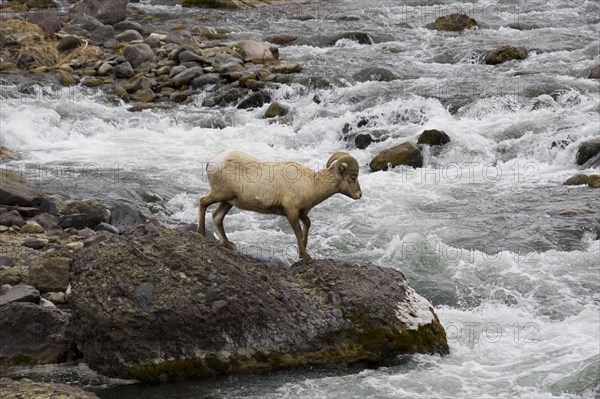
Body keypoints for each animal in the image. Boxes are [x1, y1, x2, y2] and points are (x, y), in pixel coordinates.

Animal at [199, 150, 364, 262]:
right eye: (352, 177)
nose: (359, 195)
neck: (312, 184)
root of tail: (211, 162)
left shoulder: (302, 213)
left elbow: (307, 224)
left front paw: (302, 253)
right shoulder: (291, 212)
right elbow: (298, 231)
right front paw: (305, 256)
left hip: (228, 201)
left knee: (217, 217)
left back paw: (228, 245)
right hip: (220, 195)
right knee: (203, 202)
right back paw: (201, 233)